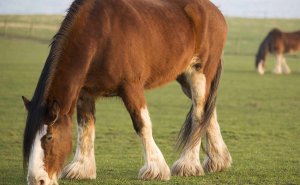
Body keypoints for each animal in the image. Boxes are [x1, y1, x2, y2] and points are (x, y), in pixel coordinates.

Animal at [22, 0, 231, 185]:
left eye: (49, 137)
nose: (37, 180)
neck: (99, 34)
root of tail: (216, 11)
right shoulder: (85, 93)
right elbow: (85, 129)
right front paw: (82, 169)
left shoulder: (132, 87)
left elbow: (142, 124)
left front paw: (155, 169)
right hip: (184, 76)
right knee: (208, 111)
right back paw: (217, 161)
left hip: (199, 74)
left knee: (198, 114)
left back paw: (188, 164)